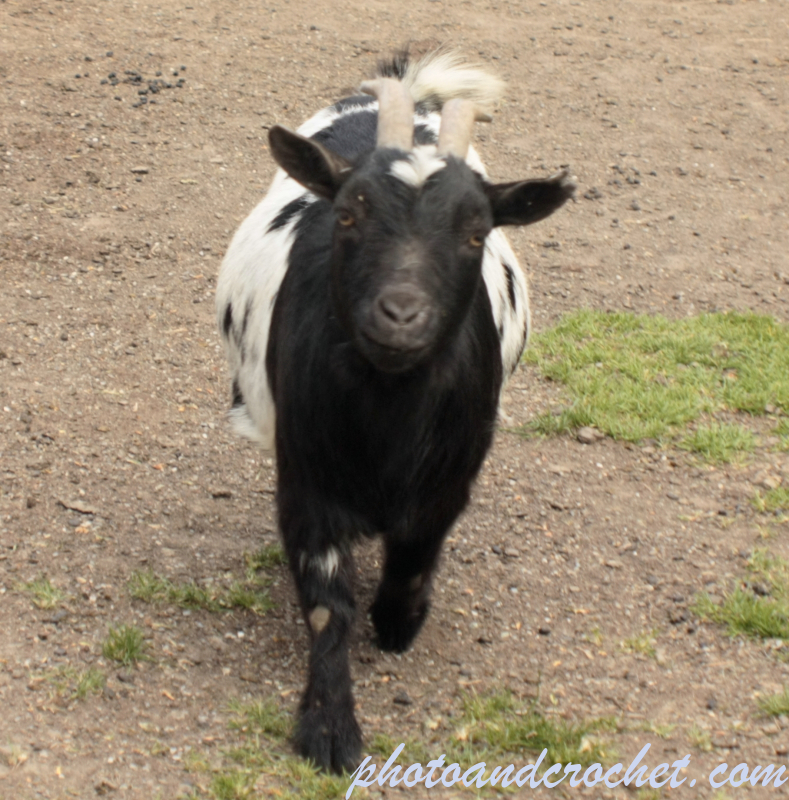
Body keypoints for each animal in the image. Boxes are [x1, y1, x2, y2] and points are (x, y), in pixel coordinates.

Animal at [216, 49, 574, 773]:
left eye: (475, 232)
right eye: (349, 214)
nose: (401, 314)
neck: (388, 415)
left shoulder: (449, 481)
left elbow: (412, 560)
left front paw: (398, 624)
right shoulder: (307, 481)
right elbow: (328, 606)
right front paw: (328, 730)